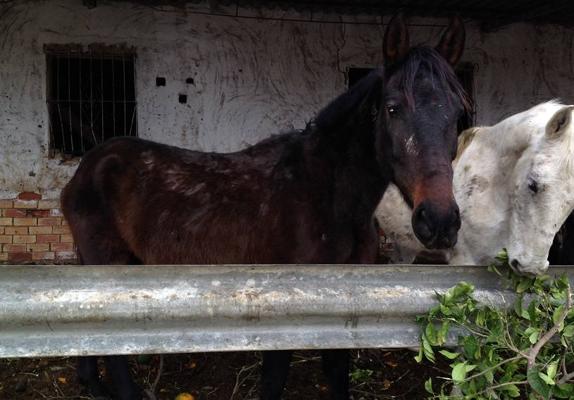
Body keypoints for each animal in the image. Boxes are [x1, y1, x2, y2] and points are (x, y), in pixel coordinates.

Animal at [62, 14, 468, 400]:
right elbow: (275, 380)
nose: (439, 220)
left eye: (457, 114)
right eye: (393, 108)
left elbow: (337, 373)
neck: (328, 195)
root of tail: (88, 166)